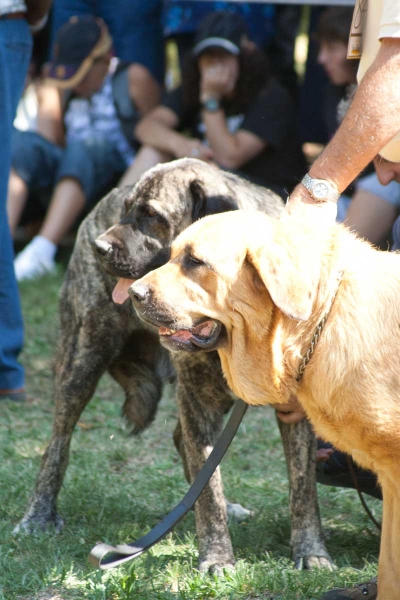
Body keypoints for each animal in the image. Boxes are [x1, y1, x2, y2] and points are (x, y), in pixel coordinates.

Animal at [14, 158, 332, 572]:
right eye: (126, 210)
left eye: (152, 216)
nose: (99, 246)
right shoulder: (198, 397)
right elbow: (208, 487)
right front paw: (217, 556)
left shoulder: (293, 408)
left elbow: (302, 484)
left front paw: (310, 549)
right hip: (82, 360)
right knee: (57, 443)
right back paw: (37, 515)